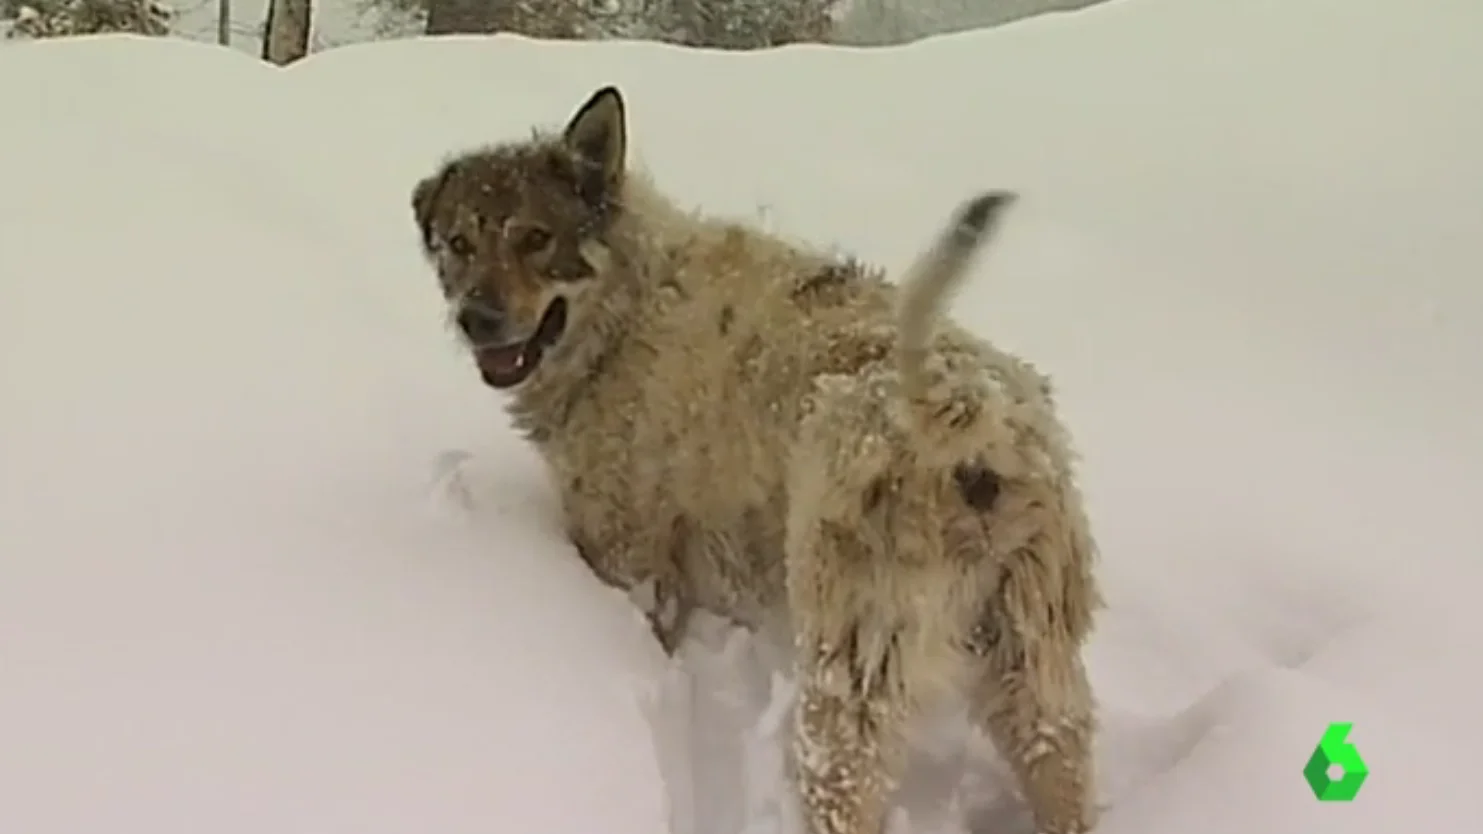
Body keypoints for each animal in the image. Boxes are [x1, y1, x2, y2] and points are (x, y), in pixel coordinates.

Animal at [406, 86, 1103, 831]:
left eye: (536, 239)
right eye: (458, 244)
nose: (475, 318)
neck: (625, 311)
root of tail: (971, 415)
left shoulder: (633, 561)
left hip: (849, 680)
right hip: (1035, 676)